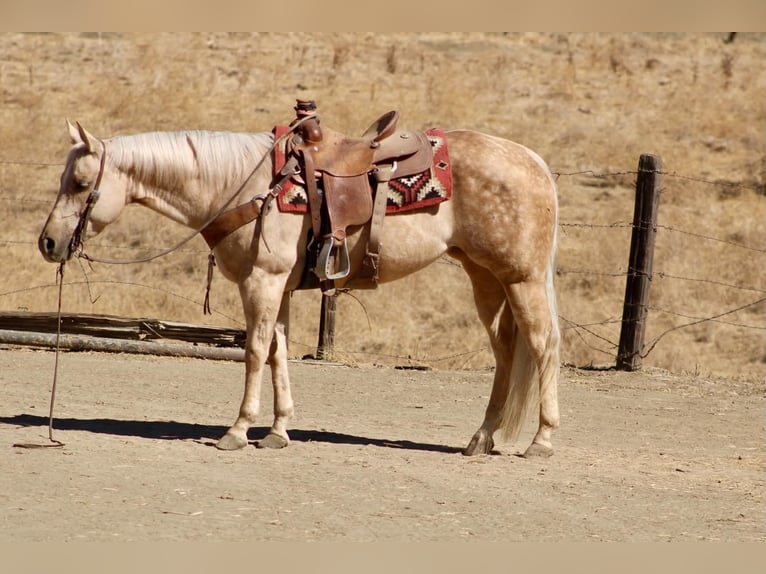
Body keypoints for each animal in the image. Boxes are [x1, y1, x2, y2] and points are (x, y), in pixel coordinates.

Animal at [38, 116, 561, 458]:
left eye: (81, 182)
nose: (48, 242)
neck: (244, 184)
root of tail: (534, 161)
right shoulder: (280, 288)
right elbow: (278, 353)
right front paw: (278, 430)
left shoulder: (262, 281)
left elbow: (254, 352)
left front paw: (237, 431)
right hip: (486, 280)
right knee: (506, 353)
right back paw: (481, 438)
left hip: (523, 278)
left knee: (543, 345)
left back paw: (542, 440)